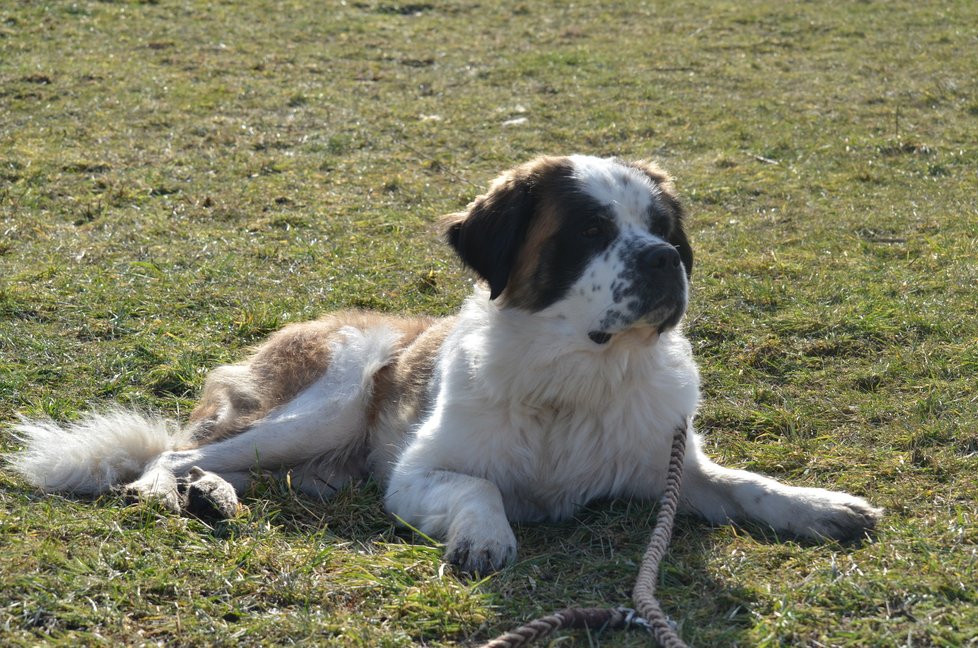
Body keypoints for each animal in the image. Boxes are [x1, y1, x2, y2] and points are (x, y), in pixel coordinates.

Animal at [5, 156, 876, 572]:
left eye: (664, 228)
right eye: (591, 231)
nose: (665, 261)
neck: (576, 377)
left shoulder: (671, 471)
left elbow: (748, 485)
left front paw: (820, 506)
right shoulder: (417, 475)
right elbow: (479, 486)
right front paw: (485, 538)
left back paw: (214, 496)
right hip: (321, 406)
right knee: (175, 455)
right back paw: (181, 491)